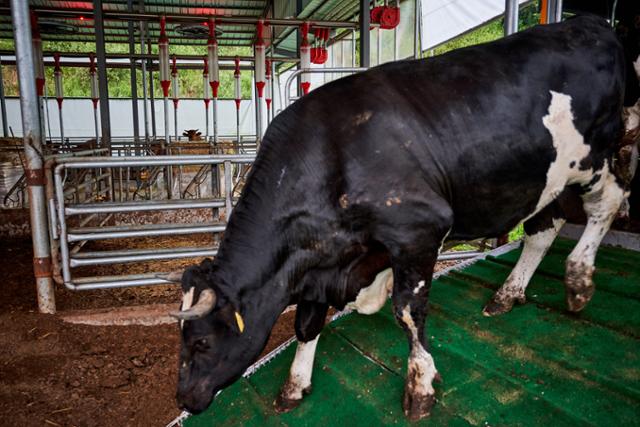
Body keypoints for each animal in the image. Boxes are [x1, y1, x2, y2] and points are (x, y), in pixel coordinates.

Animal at [168, 15, 636, 422]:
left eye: (202, 341)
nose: (184, 398)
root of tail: (591, 23)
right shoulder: (318, 259)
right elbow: (306, 324)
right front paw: (294, 385)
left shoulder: (418, 231)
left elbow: (408, 312)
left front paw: (420, 385)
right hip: (543, 177)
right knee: (544, 227)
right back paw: (508, 293)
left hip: (593, 159)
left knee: (609, 201)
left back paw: (578, 280)